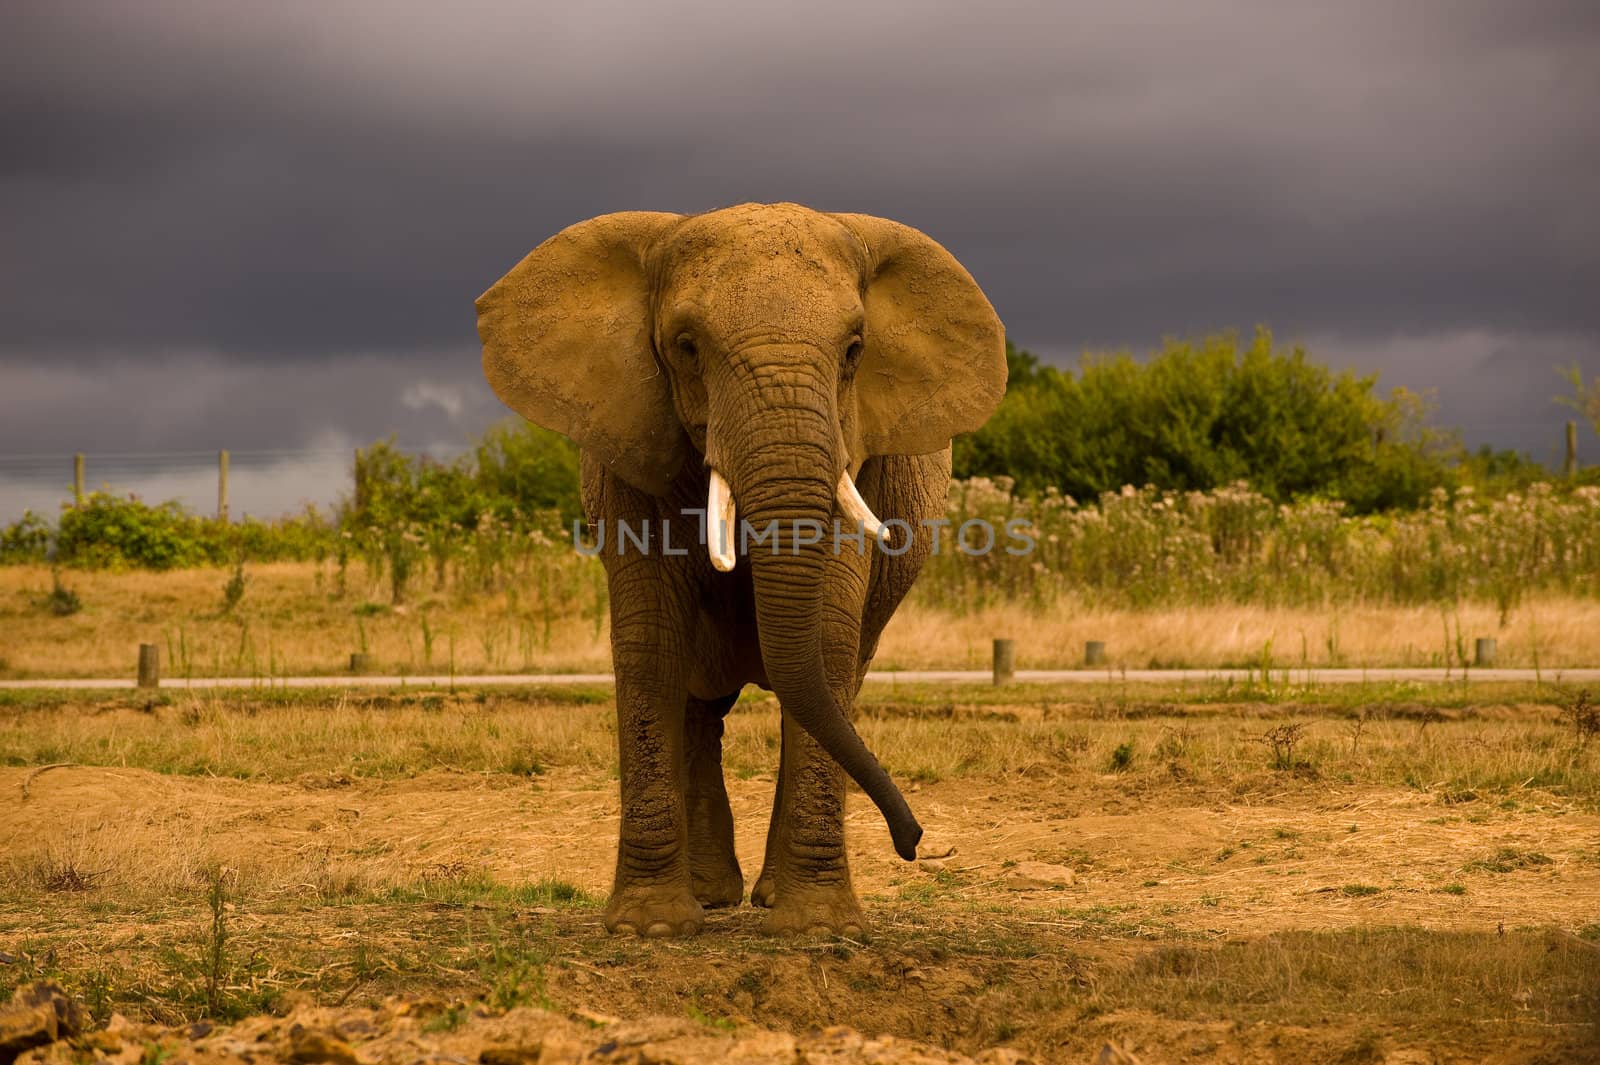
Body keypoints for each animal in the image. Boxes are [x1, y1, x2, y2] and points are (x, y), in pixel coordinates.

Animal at [470, 201, 998, 927]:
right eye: (687, 347)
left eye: (855, 350)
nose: (914, 842)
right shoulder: (630, 438)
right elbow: (650, 640)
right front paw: (652, 926)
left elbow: (827, 639)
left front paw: (818, 927)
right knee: (700, 702)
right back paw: (713, 895)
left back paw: (760, 895)